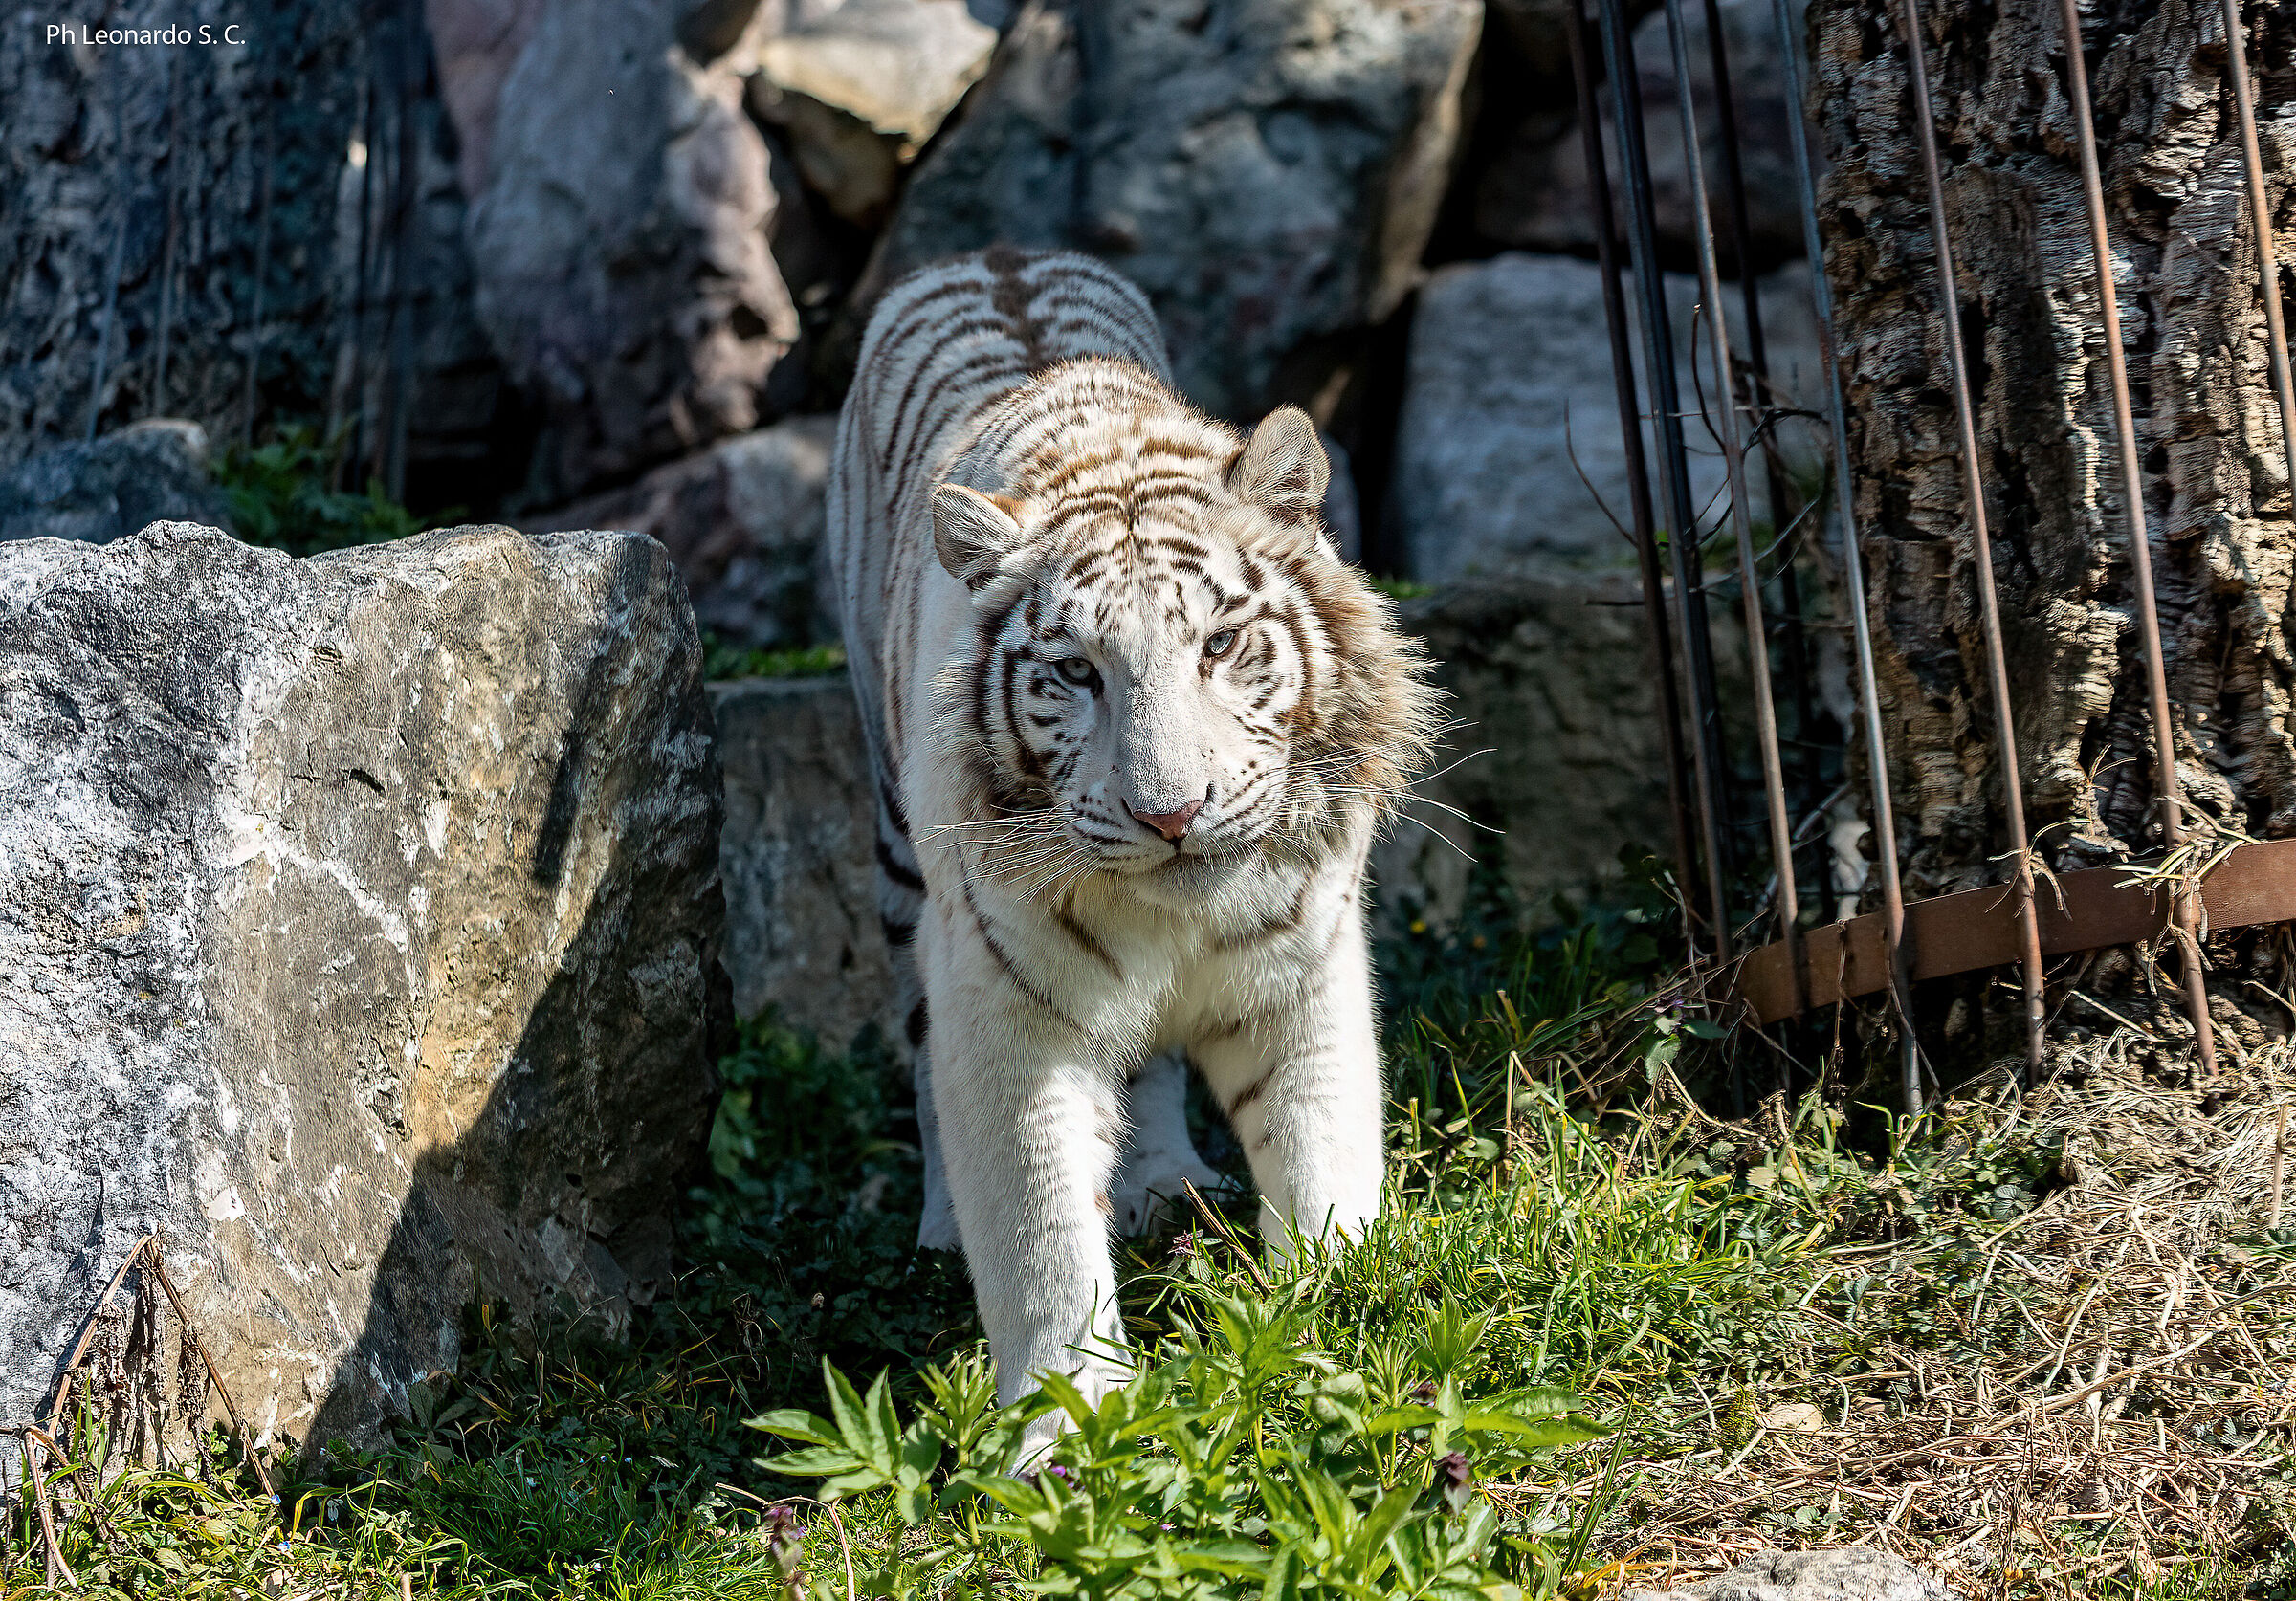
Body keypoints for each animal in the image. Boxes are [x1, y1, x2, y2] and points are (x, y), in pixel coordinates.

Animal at [826, 246, 1441, 1444]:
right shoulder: (1004, 1006)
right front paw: (1064, 1427)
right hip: (898, 851)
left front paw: (1332, 1318)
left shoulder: (1302, 969)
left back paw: (1163, 1181)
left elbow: (1322, 1141)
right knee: (921, 1043)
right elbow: (1041, 1233)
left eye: (1222, 646)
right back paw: (939, 1225)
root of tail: (994, 251)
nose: (1171, 813)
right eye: (1076, 674)